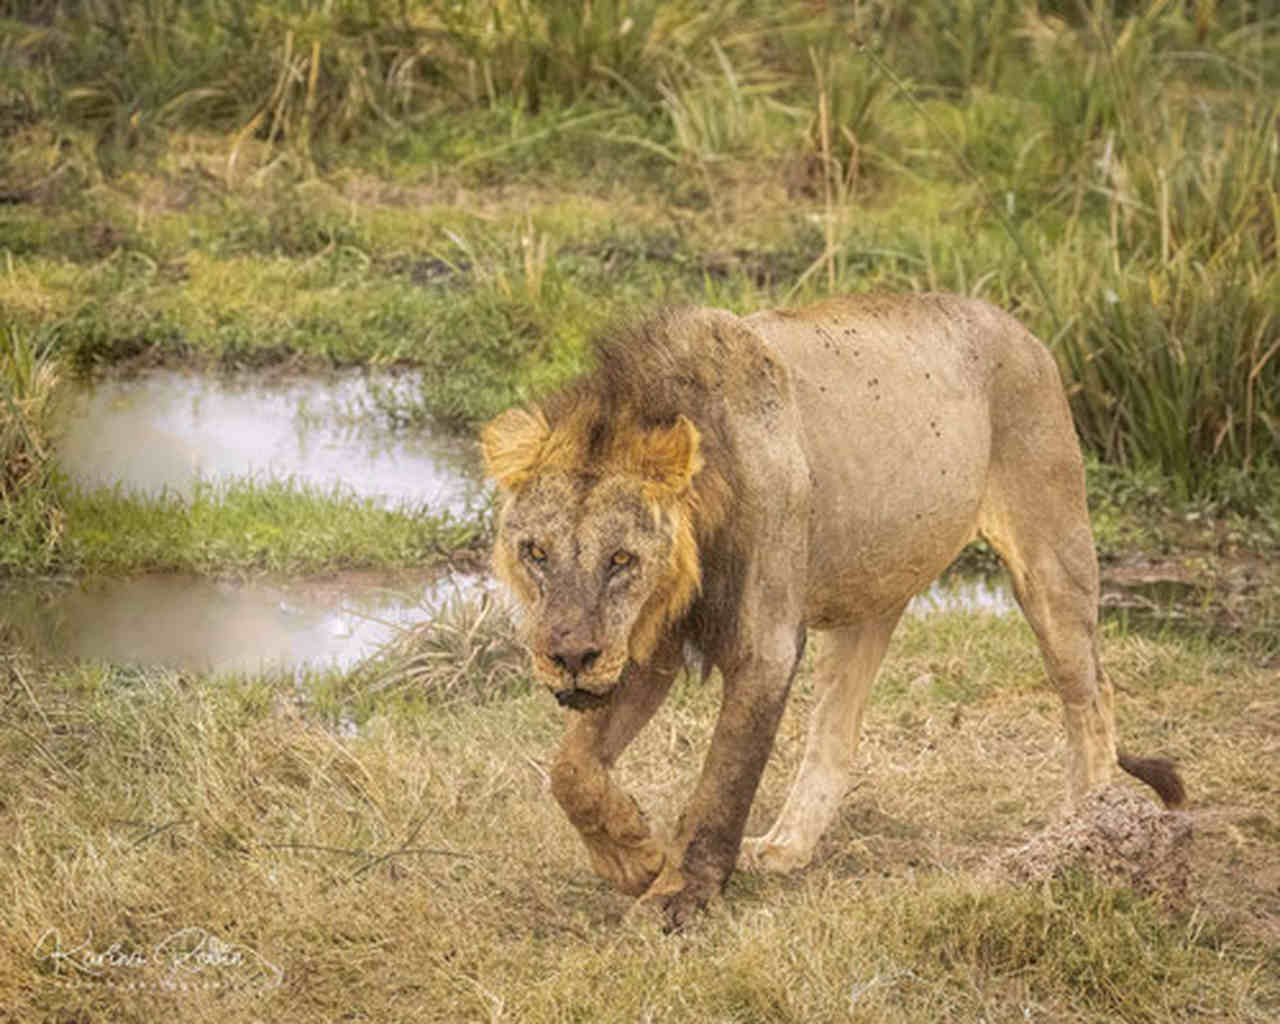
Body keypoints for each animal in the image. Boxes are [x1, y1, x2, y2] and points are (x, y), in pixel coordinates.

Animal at [481, 294, 1185, 929]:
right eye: (535, 552)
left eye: (622, 559)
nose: (569, 657)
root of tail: (1022, 329)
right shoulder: (644, 644)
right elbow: (572, 771)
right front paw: (633, 857)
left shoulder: (764, 646)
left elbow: (722, 784)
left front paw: (677, 894)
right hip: (868, 599)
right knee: (836, 732)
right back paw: (785, 847)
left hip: (1053, 557)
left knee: (1091, 691)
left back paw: (1087, 830)